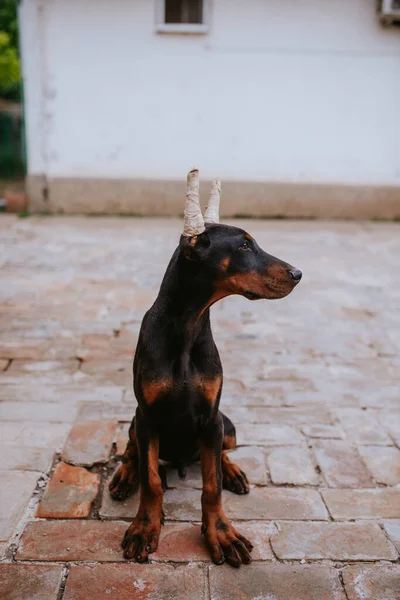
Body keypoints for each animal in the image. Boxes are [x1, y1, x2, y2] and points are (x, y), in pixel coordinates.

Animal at [108, 170, 302, 568]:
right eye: (243, 247)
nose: (298, 273)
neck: (187, 326)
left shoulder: (211, 417)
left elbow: (211, 487)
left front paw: (222, 533)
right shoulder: (148, 416)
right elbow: (151, 479)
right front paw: (144, 527)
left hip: (226, 425)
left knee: (222, 451)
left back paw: (233, 471)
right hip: (136, 421)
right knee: (132, 448)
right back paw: (124, 476)